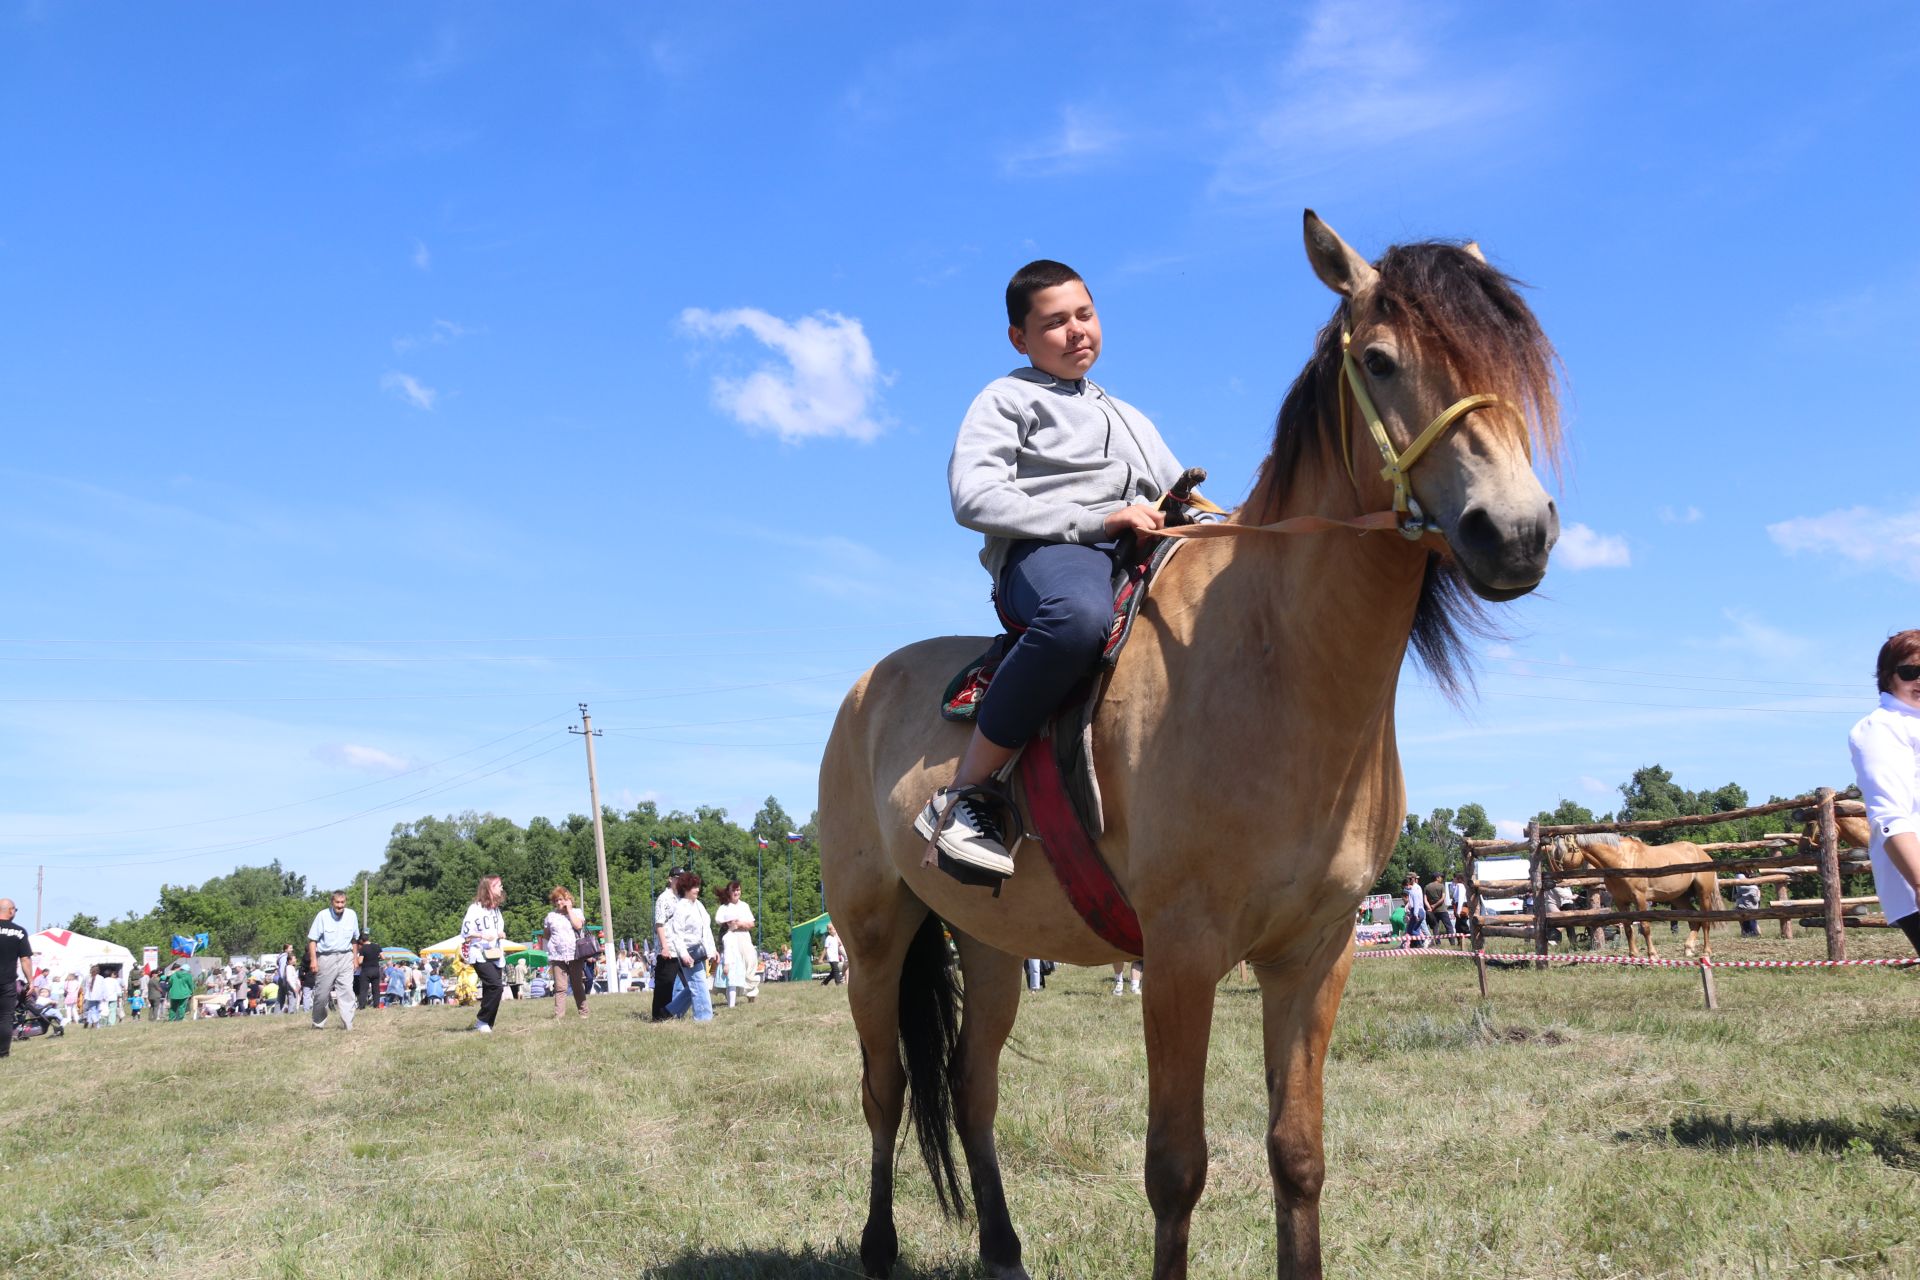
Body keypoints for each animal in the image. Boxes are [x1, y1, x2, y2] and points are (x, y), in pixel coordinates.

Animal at [821, 213, 1559, 1280]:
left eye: (1517, 363)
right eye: (1380, 361)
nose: (1515, 531)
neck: (1275, 659)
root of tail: (863, 691)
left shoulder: (1314, 954)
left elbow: (1298, 1154)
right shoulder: (1179, 955)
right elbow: (1176, 1167)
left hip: (988, 944)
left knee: (970, 1088)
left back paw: (1003, 1249)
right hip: (875, 938)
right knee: (884, 1093)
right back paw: (879, 1248)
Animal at [1543, 836, 1728, 955]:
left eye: (1563, 852)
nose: (1556, 877)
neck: (1621, 860)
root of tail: (1702, 852)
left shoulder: (1640, 899)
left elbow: (1644, 927)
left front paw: (1652, 954)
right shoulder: (1621, 902)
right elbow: (1628, 928)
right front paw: (1633, 955)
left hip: (1703, 894)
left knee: (1705, 921)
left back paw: (1706, 951)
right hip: (1678, 897)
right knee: (1694, 920)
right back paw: (1688, 948)